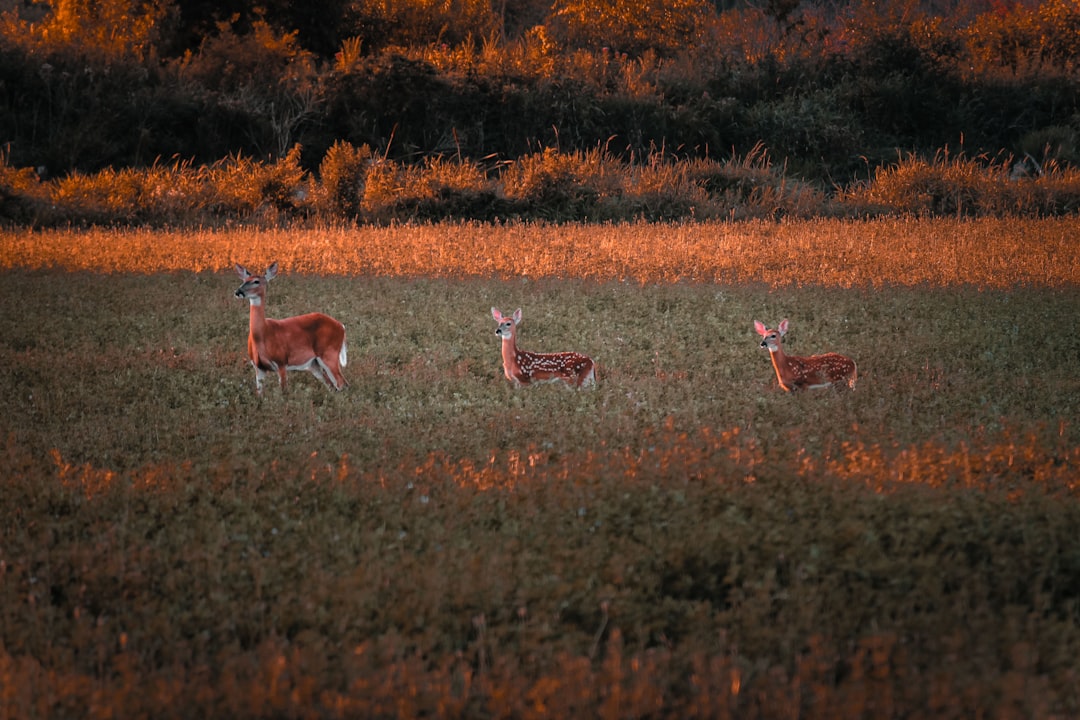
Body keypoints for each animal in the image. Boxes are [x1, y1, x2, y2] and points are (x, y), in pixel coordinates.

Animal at [234, 262, 347, 395]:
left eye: (256, 281)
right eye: (244, 280)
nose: (238, 291)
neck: (263, 334)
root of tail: (341, 326)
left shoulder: (281, 361)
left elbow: (284, 392)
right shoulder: (258, 367)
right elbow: (259, 394)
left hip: (329, 353)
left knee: (342, 383)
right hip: (313, 364)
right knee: (332, 384)